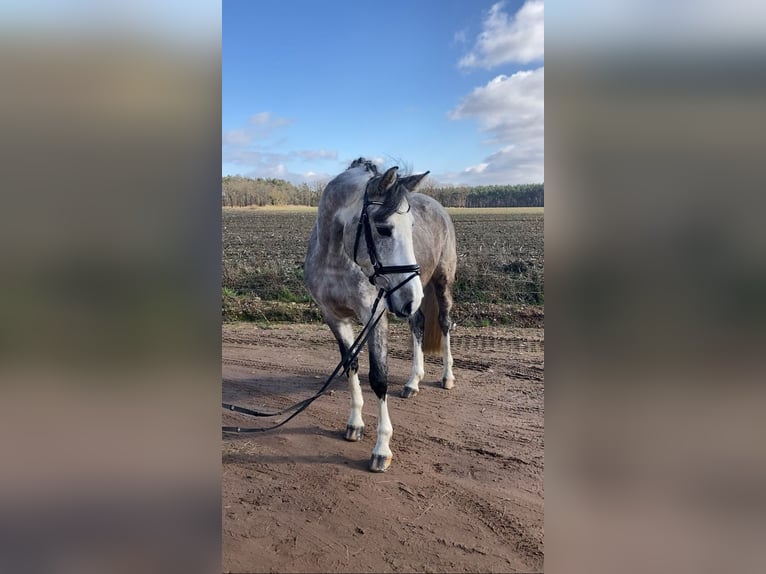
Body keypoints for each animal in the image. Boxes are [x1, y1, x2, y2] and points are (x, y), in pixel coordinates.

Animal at [304, 158, 460, 472]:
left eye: (411, 227)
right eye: (384, 228)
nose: (411, 295)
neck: (336, 259)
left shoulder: (374, 316)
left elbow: (379, 377)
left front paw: (382, 449)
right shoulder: (334, 317)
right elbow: (350, 364)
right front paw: (354, 424)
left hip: (440, 283)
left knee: (444, 323)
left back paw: (447, 377)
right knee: (418, 324)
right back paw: (413, 382)